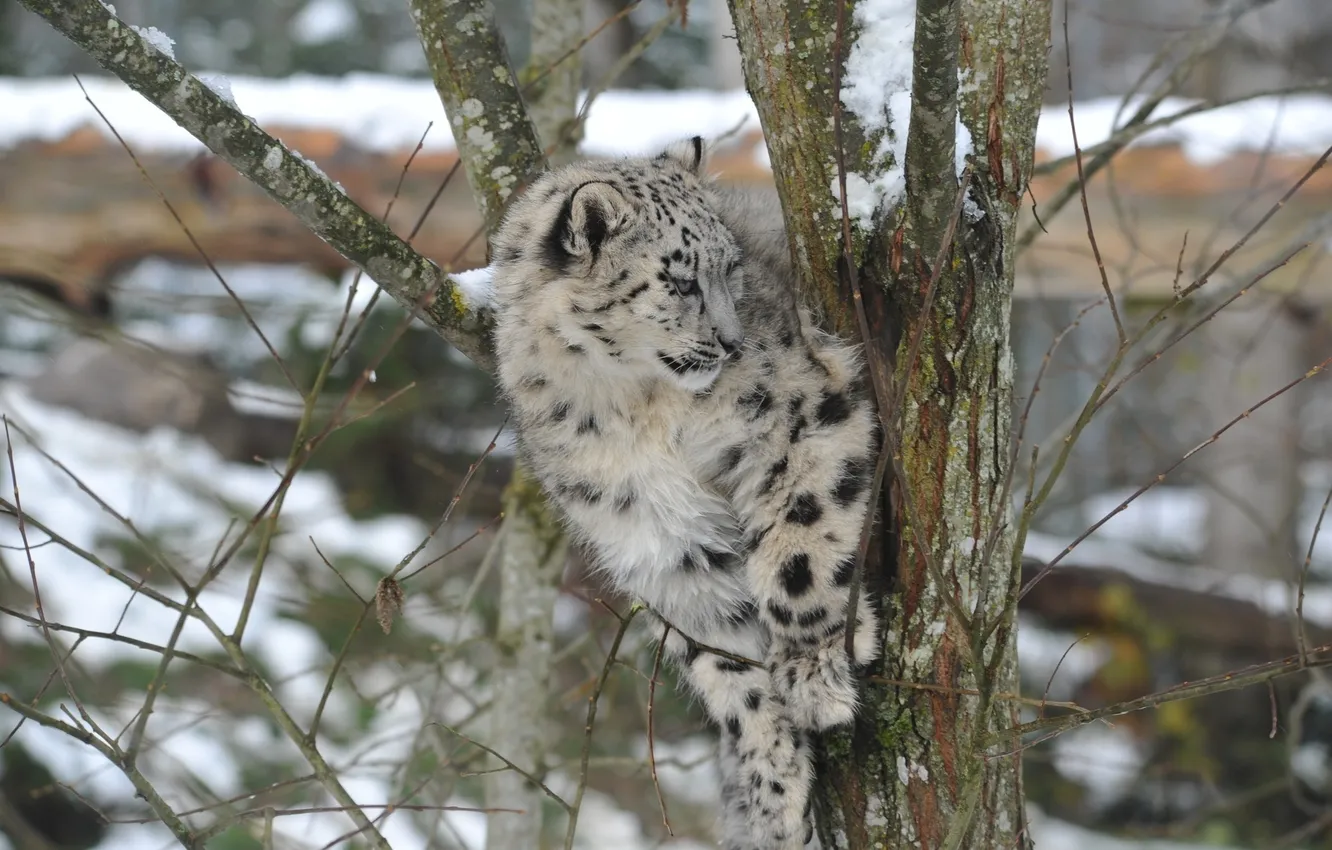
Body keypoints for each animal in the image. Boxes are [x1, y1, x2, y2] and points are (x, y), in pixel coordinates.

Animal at [488, 137, 881, 850]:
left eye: (732, 268)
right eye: (679, 278)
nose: (731, 341)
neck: (633, 404)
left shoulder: (798, 415)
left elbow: (800, 549)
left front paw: (814, 674)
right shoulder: (654, 529)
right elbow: (725, 654)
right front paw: (772, 789)